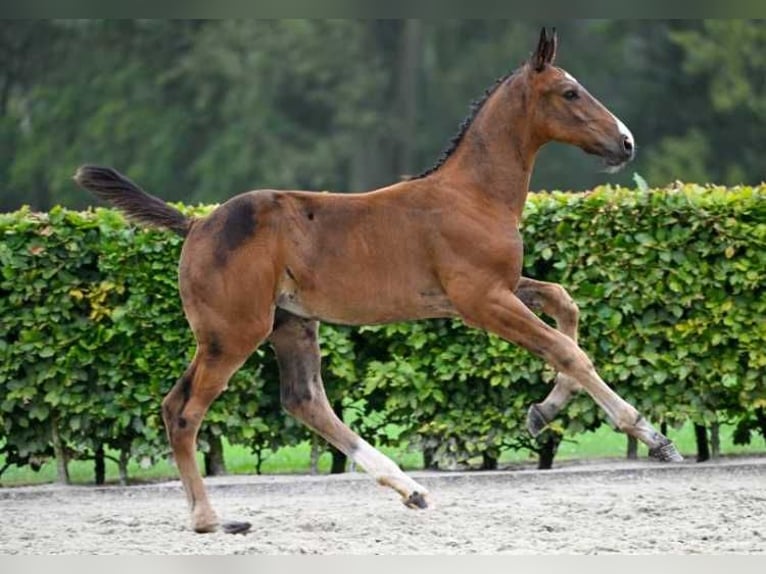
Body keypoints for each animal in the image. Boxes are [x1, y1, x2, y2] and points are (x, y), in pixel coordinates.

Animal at [73, 30, 684, 536]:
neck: (473, 194)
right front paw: (652, 436)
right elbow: (566, 349)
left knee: (302, 400)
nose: (626, 143)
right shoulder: (480, 300)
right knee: (184, 411)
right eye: (570, 92)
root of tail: (196, 223)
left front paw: (542, 412)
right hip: (233, 333)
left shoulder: (494, 290)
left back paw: (410, 488)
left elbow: (565, 306)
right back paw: (210, 519)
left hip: (291, 324)